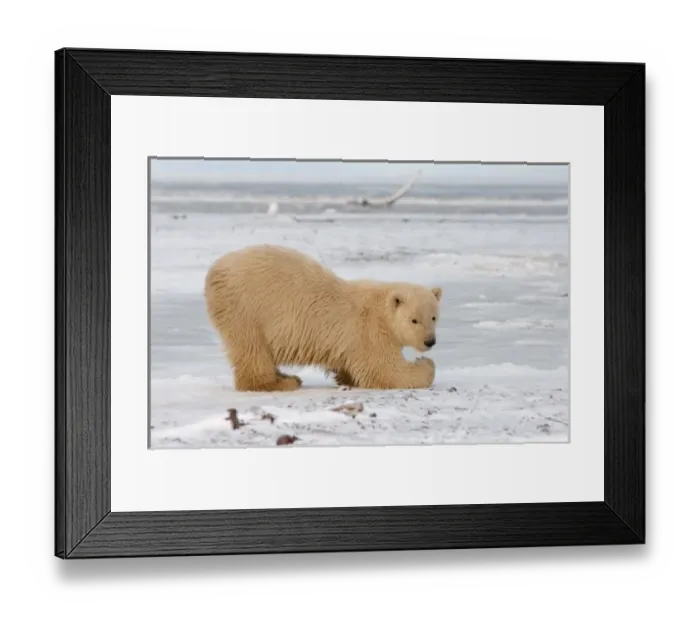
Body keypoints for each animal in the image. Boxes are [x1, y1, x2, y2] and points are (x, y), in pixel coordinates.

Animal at [204, 244, 442, 392]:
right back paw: (281, 383)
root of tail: (215, 270)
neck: (380, 309)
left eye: (434, 317)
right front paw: (425, 363)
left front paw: (345, 377)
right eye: (414, 319)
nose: (429, 341)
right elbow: (385, 372)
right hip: (246, 309)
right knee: (253, 350)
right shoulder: (370, 332)